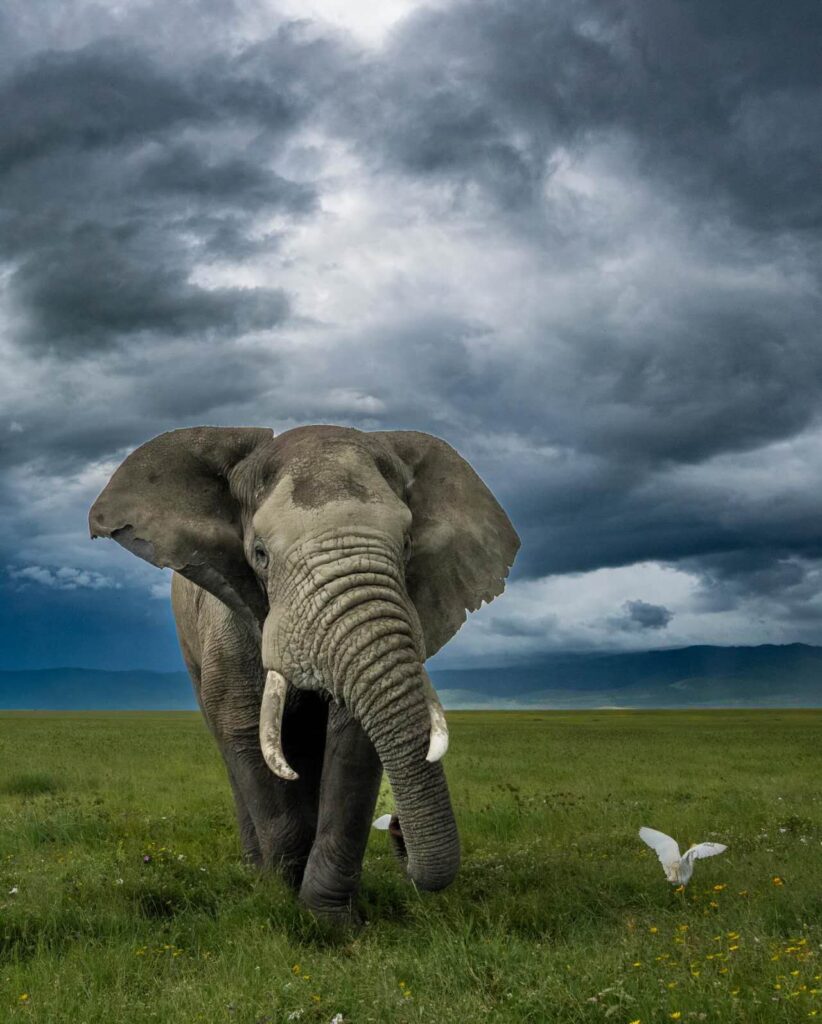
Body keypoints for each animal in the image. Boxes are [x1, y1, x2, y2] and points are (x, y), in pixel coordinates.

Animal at [89, 424, 519, 921]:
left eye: (408, 545)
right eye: (260, 554)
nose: (396, 828)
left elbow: (352, 742)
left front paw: (327, 919)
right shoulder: (229, 619)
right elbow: (245, 732)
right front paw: (281, 902)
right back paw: (256, 871)